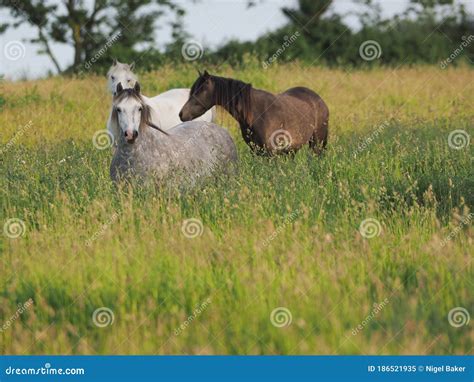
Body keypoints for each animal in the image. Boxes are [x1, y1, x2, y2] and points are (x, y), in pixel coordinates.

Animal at [179, 71, 330, 154]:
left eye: (200, 91)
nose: (181, 114)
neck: (256, 113)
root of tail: (319, 100)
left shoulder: (271, 153)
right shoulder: (256, 151)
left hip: (317, 143)